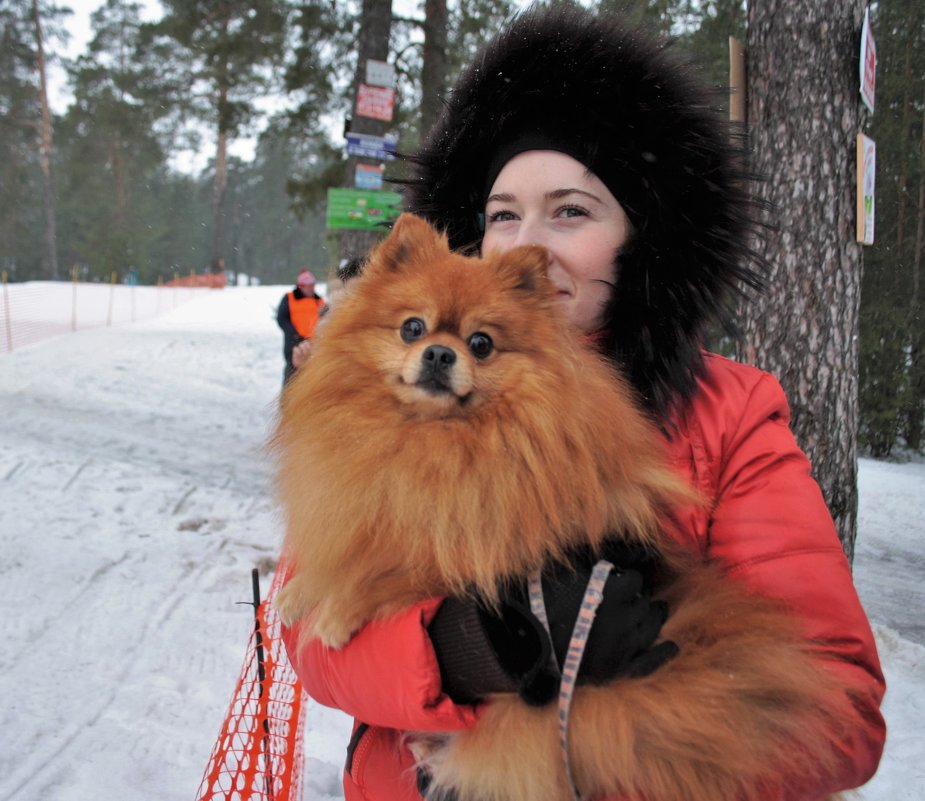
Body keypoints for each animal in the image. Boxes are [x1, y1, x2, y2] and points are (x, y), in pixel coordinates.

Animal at [272, 211, 852, 800]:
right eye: (412, 328)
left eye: (481, 343)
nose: (438, 352)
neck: (438, 442)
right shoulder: (386, 509)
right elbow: (358, 549)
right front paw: (300, 592)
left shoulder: (480, 545)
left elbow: (394, 571)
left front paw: (338, 610)